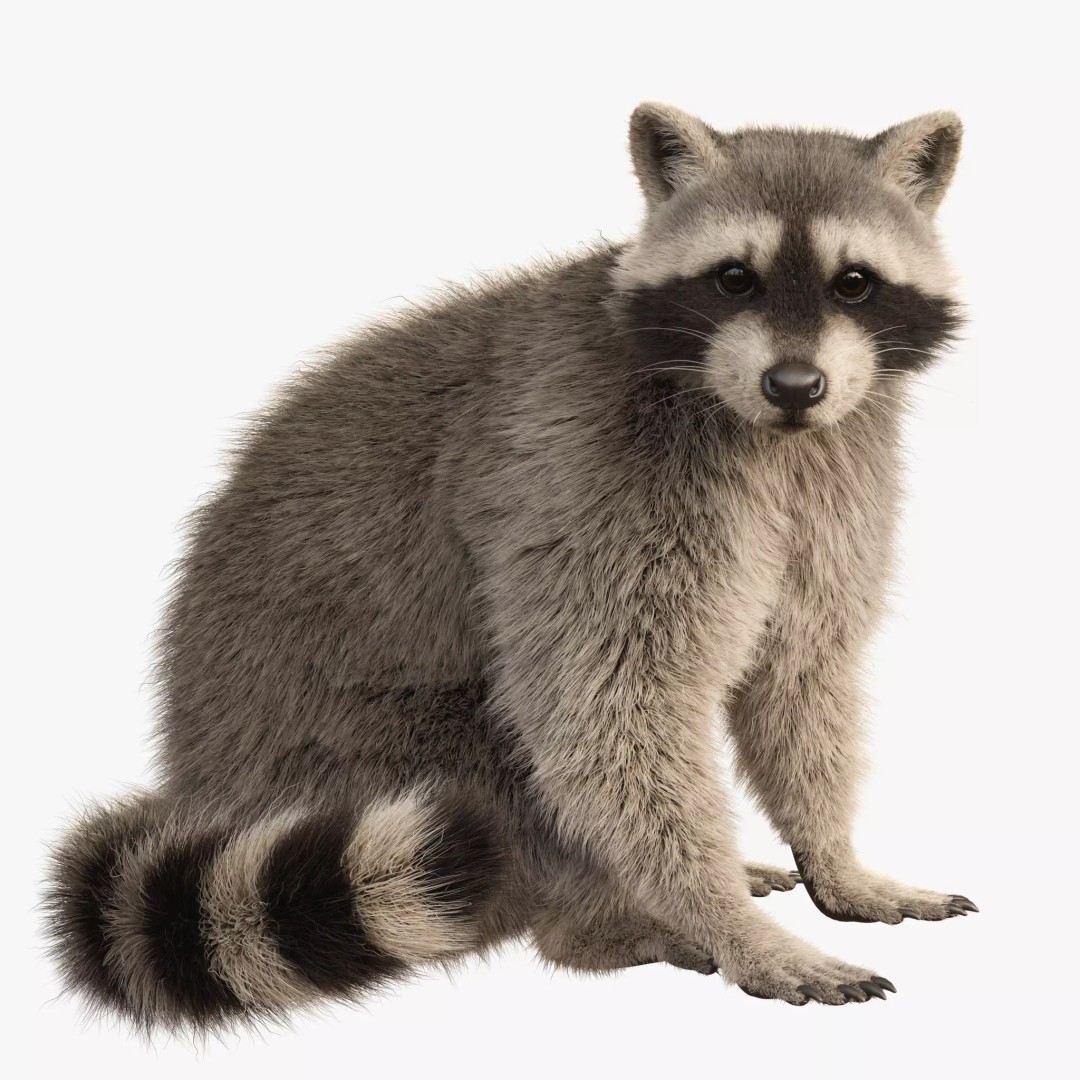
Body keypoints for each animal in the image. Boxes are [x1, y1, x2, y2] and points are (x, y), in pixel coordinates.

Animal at [45, 103, 976, 1033]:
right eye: (733, 280)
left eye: (853, 282)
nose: (794, 383)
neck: (757, 423)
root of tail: (199, 781)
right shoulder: (596, 474)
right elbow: (606, 704)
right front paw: (722, 918)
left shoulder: (835, 475)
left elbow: (801, 669)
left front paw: (834, 857)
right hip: (361, 763)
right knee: (514, 766)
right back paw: (603, 926)